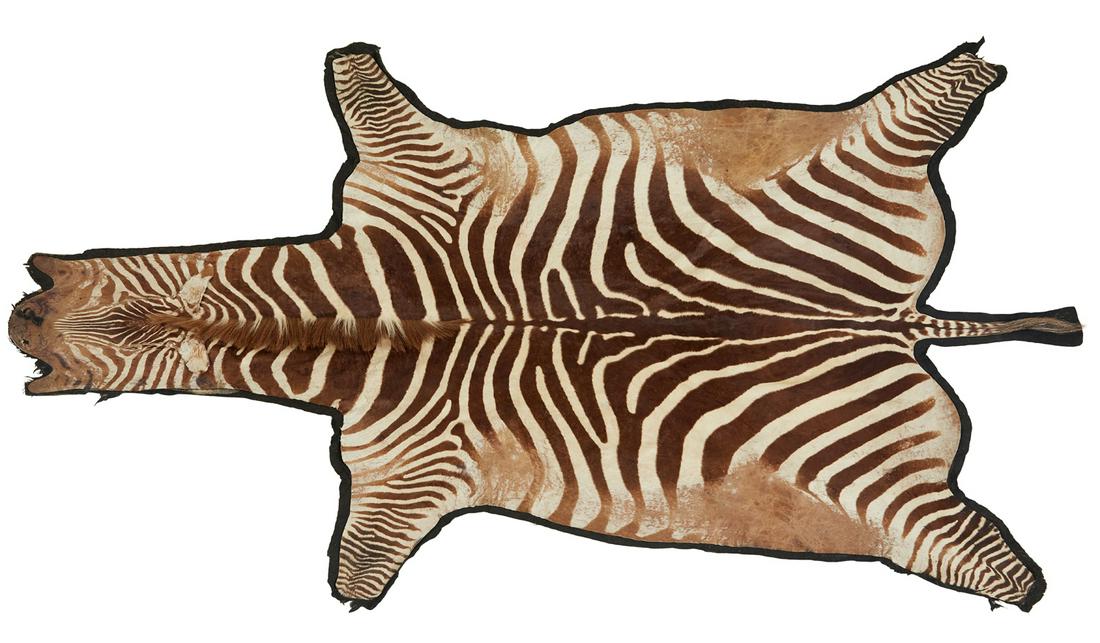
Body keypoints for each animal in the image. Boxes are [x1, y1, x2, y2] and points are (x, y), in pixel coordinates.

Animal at [8, 40, 1081, 610]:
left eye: (44, 297)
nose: (22, 315)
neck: (341, 313)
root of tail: (898, 318)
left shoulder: (411, 169)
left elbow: (366, 93)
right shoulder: (403, 467)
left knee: (900, 104)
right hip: (878, 474)